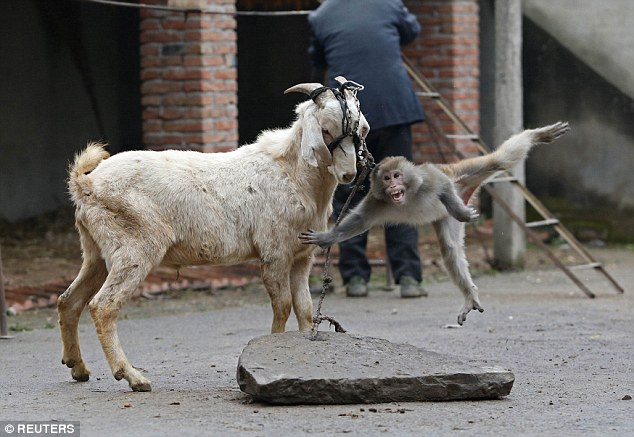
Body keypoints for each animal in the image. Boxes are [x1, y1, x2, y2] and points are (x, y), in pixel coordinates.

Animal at [59, 76, 370, 390]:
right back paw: (132, 376)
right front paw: (272, 347)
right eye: (325, 129)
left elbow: (304, 307)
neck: (292, 174)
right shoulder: (275, 252)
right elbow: (282, 305)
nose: (348, 174)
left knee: (69, 301)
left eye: (359, 129)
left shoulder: (302, 256)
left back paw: (78, 367)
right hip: (134, 247)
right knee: (103, 306)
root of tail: (85, 184)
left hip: (96, 251)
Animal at [298, 121, 572, 326]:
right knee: (450, 251)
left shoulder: (425, 178)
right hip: (445, 217)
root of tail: (465, 190)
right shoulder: (376, 201)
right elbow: (358, 221)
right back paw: (469, 295)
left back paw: (536, 136)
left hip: (459, 174)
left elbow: (440, 183)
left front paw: (461, 211)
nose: (393, 185)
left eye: (397, 175)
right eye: (386, 179)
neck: (407, 195)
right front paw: (327, 238)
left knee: (497, 161)